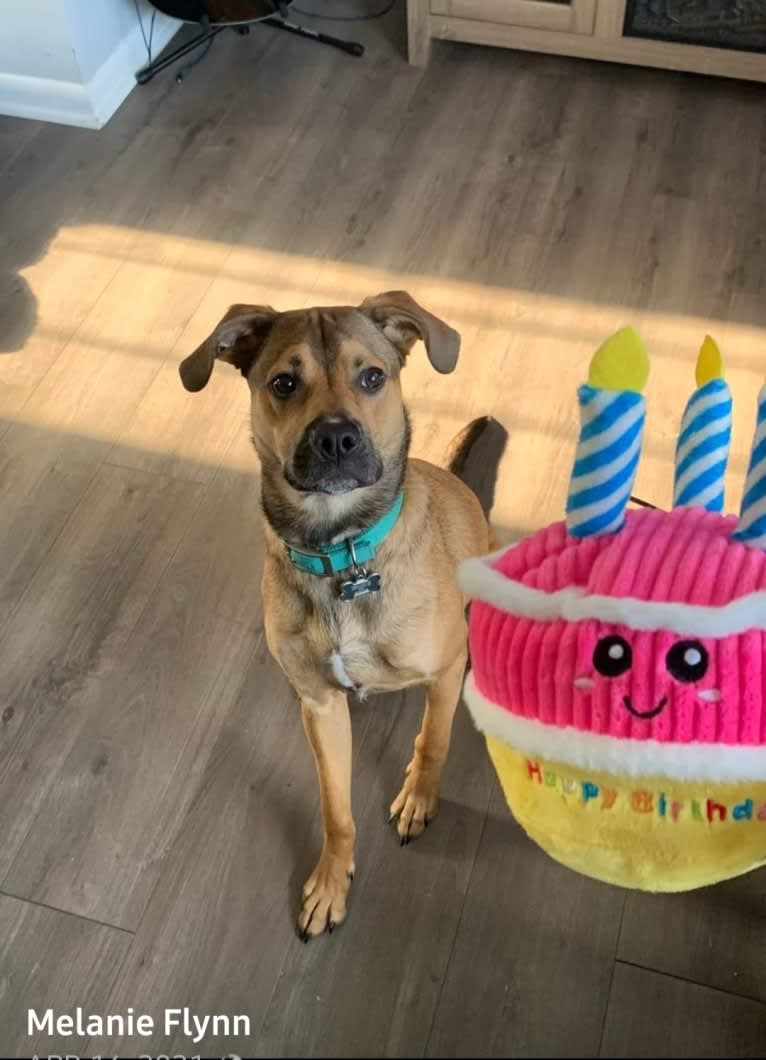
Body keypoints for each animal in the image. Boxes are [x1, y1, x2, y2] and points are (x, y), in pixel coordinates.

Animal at [176, 290, 506, 937]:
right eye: (283, 383)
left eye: (372, 376)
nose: (335, 439)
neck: (343, 555)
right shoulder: (322, 708)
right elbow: (335, 809)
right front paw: (332, 881)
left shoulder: (443, 671)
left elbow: (433, 739)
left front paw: (420, 798)